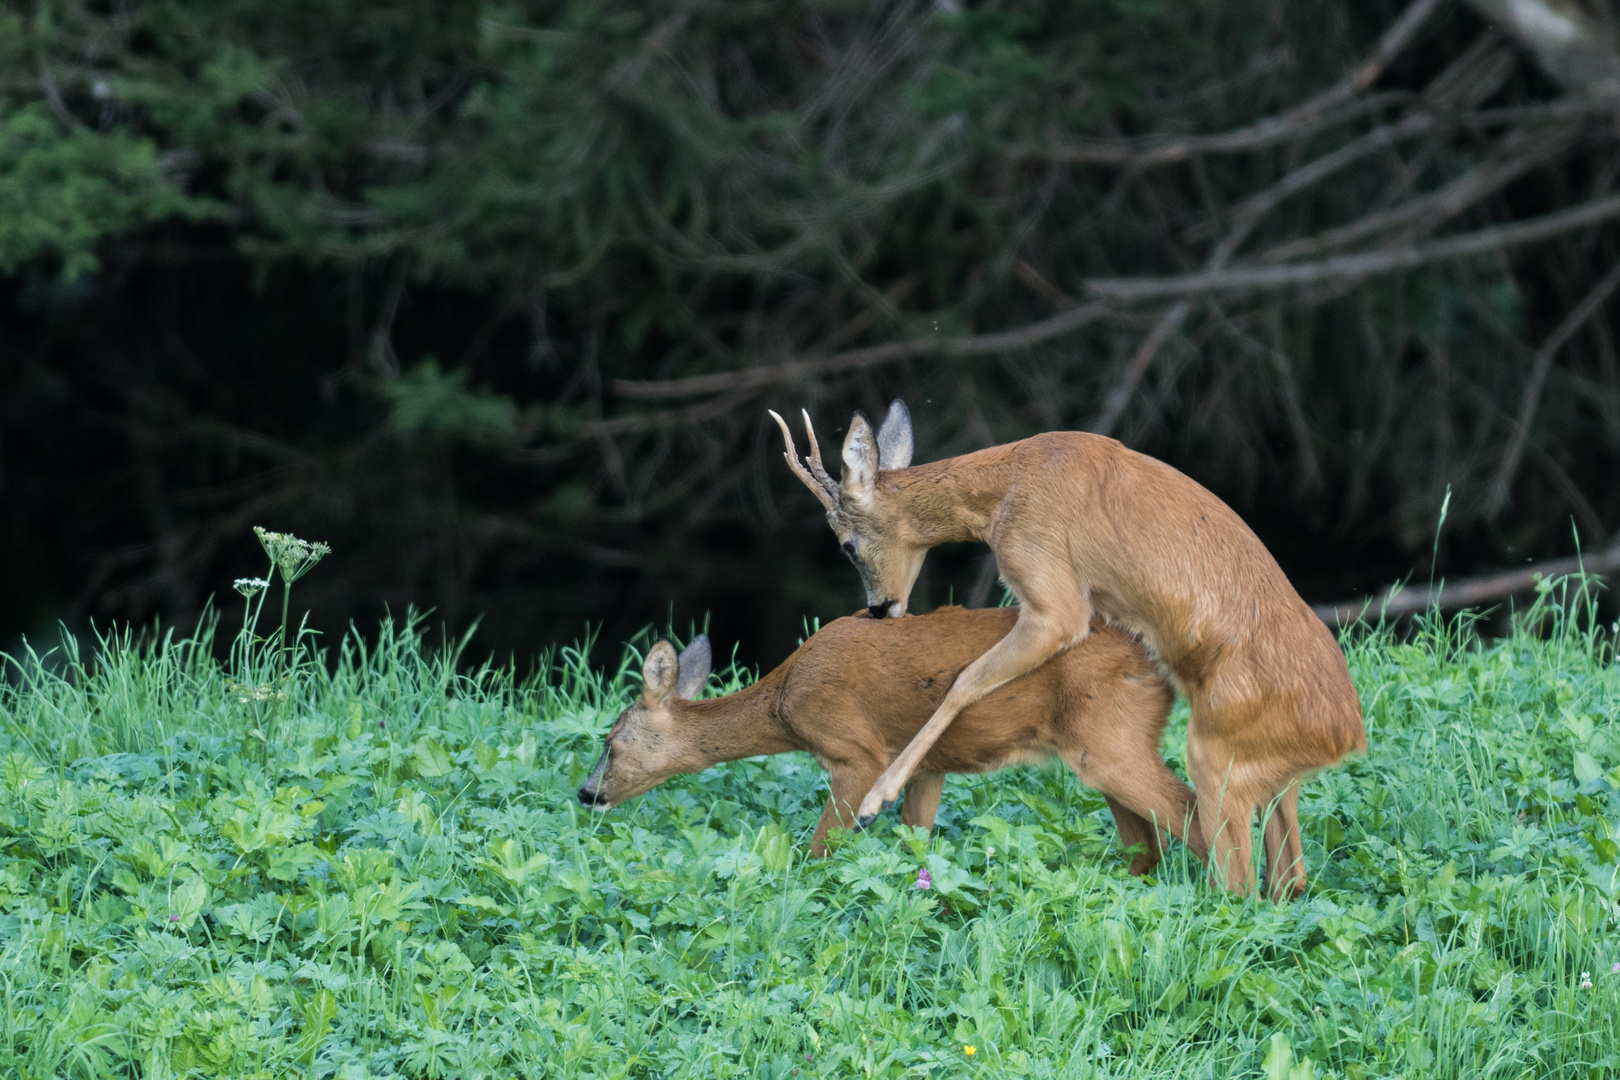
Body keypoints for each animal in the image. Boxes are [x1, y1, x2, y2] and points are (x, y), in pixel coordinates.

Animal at [579, 605, 1205, 874]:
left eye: (611, 740)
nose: (586, 794)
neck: (784, 704)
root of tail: (1156, 665)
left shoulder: (856, 753)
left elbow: (820, 850)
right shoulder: (929, 766)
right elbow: (917, 842)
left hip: (1108, 738)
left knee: (1192, 808)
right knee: (1145, 842)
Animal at [771, 401, 1367, 900]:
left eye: (847, 545)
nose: (880, 610)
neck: (1004, 489)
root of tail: (1348, 736)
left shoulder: (1052, 598)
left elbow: (964, 682)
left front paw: (876, 801)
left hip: (1217, 757)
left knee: (1239, 881)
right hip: (1273, 779)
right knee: (1288, 875)